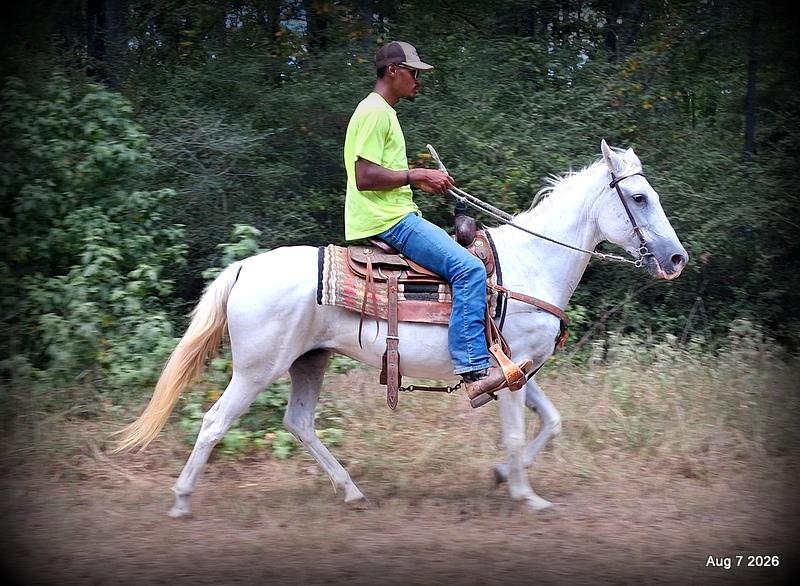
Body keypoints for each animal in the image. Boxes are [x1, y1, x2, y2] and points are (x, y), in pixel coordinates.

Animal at [115, 140, 688, 517]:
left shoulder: (519, 370)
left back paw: (351, 491)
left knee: (298, 423)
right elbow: (516, 431)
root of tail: (245, 268)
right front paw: (527, 495)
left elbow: (552, 421)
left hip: (309, 362)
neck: (531, 264)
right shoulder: (510, 374)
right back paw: (182, 501)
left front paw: (505, 476)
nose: (676, 258)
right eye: (639, 199)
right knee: (215, 423)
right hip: (256, 369)